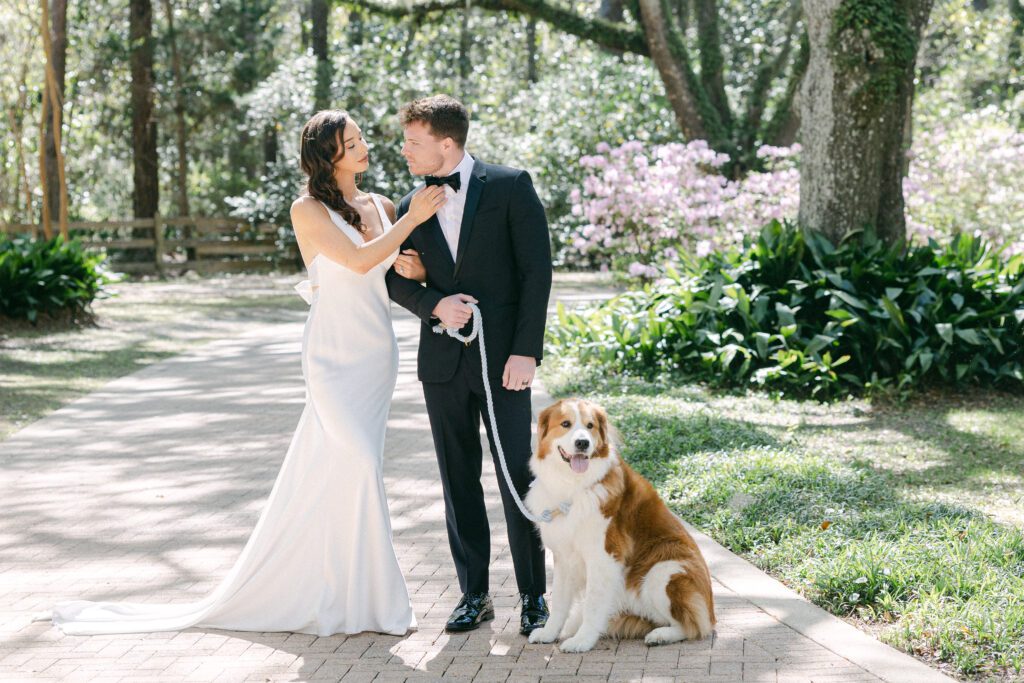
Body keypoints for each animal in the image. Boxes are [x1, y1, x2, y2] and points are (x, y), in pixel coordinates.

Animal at [524, 397, 716, 655]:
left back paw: (661, 636)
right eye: (565, 424)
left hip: (662, 571)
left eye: (590, 425)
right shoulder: (565, 557)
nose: (583, 443)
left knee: (692, 625)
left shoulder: (604, 557)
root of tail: (712, 611)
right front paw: (548, 633)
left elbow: (592, 604)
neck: (574, 485)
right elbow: (561, 602)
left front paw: (582, 641)